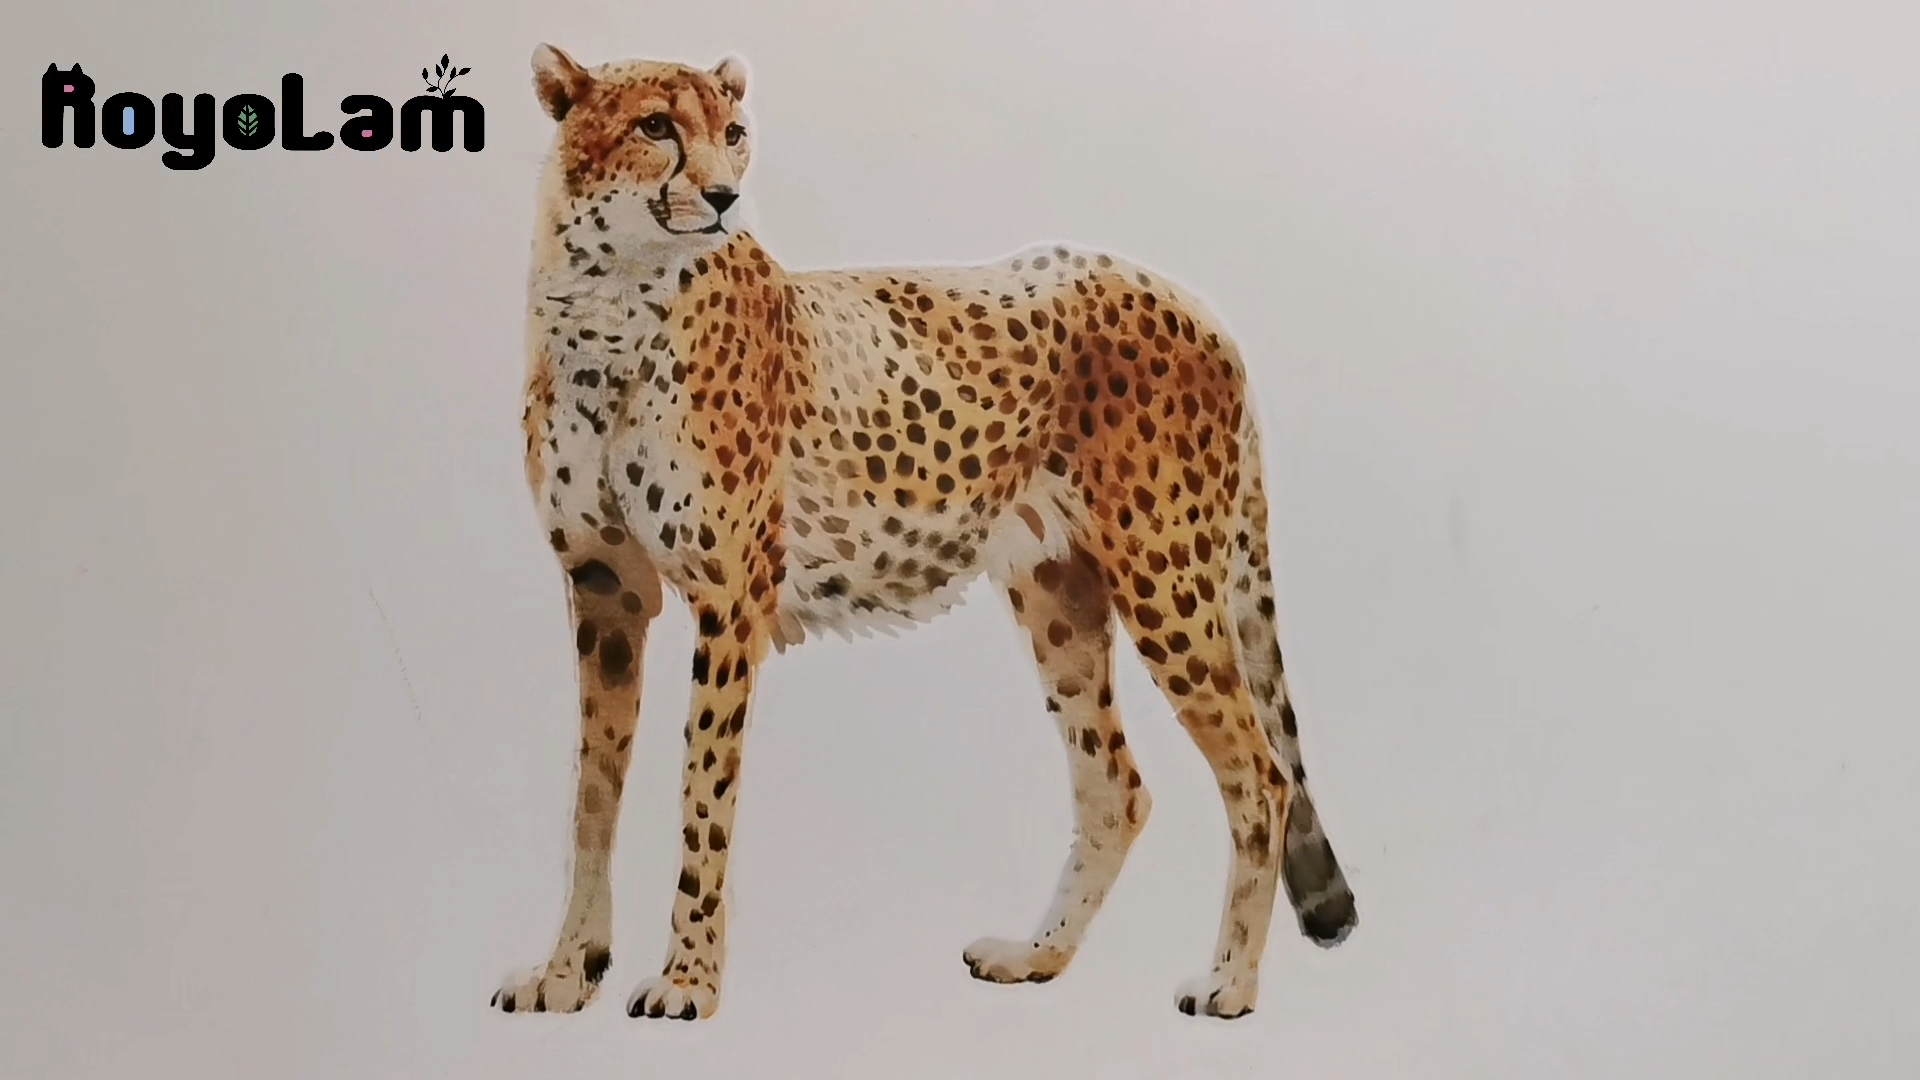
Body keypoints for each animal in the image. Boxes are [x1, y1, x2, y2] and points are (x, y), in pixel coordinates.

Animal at [493, 43, 1358, 1024]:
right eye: (655, 126)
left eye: (735, 132)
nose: (721, 197)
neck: (609, 303)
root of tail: (1189, 300)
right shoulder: (606, 591)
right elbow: (592, 797)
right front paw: (567, 973)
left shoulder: (731, 597)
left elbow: (702, 795)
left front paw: (687, 983)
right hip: (1058, 593)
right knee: (1117, 786)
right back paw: (1037, 957)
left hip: (1164, 579)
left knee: (1261, 774)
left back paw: (1230, 984)